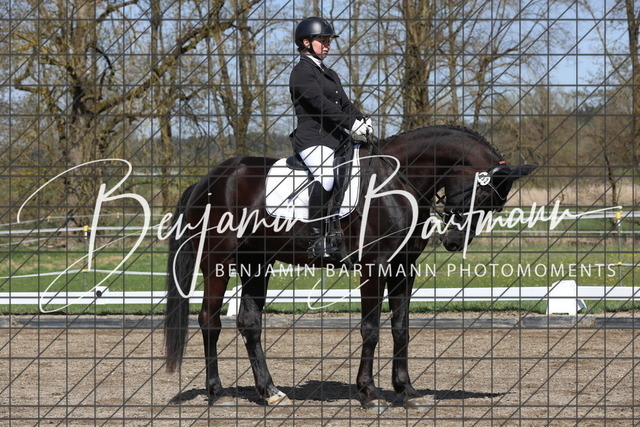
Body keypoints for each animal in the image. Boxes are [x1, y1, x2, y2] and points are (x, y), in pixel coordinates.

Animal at [163, 125, 535, 411]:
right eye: (481, 195)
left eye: (494, 205)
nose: (455, 242)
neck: (396, 183)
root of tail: (209, 179)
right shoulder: (374, 266)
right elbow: (370, 329)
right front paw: (370, 394)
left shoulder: (403, 267)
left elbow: (400, 327)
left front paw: (407, 391)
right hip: (218, 262)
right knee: (209, 320)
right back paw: (218, 393)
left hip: (257, 263)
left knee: (249, 323)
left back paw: (271, 393)